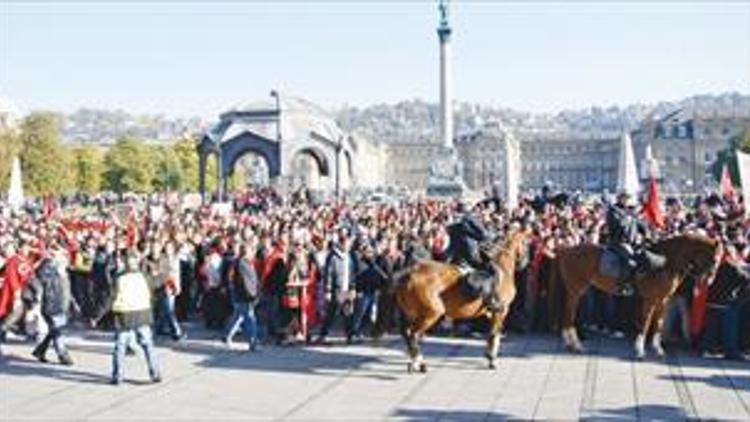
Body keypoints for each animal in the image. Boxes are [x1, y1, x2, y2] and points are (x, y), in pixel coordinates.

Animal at [396, 229, 532, 370]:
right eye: (526, 244)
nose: (525, 263)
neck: (502, 271)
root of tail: (410, 274)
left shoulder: (492, 313)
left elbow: (492, 334)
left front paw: (489, 355)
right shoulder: (501, 311)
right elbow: (494, 334)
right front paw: (492, 359)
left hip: (412, 313)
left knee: (408, 335)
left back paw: (416, 362)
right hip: (431, 313)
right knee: (413, 335)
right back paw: (418, 362)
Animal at [552, 234, 724, 360]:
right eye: (714, 259)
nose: (710, 280)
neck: (666, 263)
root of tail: (565, 251)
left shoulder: (663, 301)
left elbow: (659, 324)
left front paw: (658, 349)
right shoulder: (649, 300)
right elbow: (645, 323)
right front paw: (640, 350)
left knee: (568, 313)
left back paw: (570, 343)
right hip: (576, 290)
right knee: (569, 314)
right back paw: (575, 344)